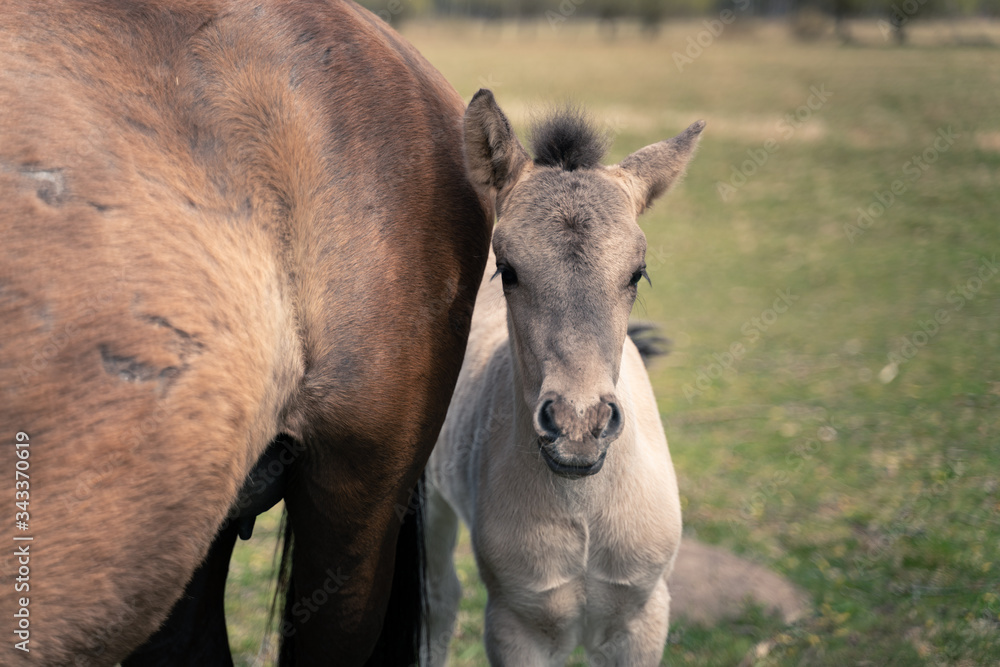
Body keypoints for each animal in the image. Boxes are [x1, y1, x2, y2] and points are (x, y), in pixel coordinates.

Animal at [423, 90, 703, 665]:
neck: (585, 514)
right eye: (507, 270)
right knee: (439, 601)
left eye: (637, 273)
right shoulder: (516, 626)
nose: (578, 425)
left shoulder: (642, 620)